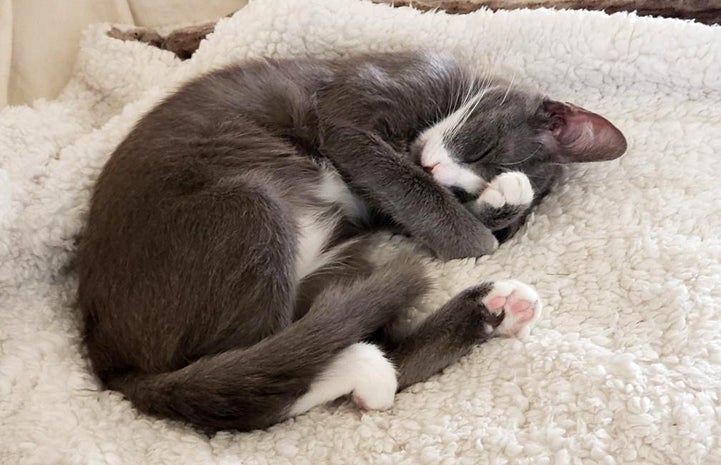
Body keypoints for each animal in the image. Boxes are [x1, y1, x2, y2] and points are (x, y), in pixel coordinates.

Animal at [77, 50, 624, 432]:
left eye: (465, 186)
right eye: (484, 145)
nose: (434, 168)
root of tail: (106, 353)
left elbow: (417, 205)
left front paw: (502, 207)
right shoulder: (356, 109)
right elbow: (392, 172)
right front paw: (482, 236)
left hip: (337, 264)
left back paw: (494, 306)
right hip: (248, 205)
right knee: (254, 382)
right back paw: (367, 367)